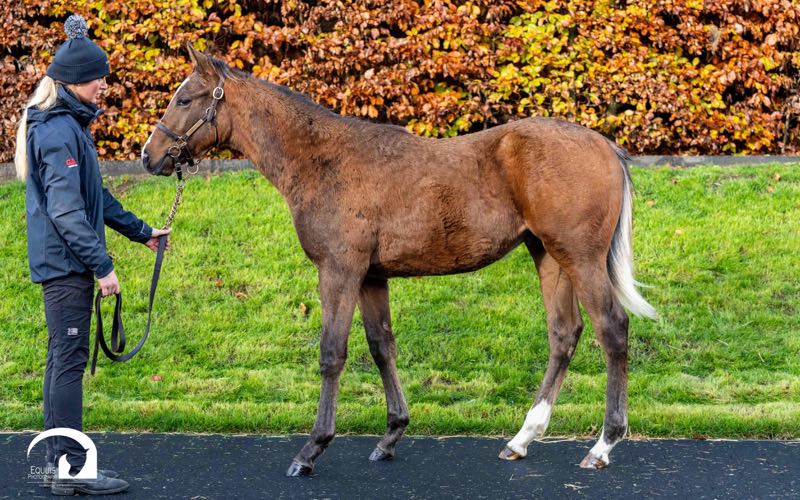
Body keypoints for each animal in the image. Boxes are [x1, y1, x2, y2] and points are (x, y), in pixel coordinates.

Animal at [142, 46, 657, 477]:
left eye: (185, 98)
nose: (149, 156)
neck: (322, 161)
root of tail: (606, 147)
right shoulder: (371, 277)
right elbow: (381, 347)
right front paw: (391, 434)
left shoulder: (339, 271)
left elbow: (332, 353)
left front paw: (312, 448)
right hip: (549, 256)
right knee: (564, 334)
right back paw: (522, 438)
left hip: (580, 259)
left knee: (612, 329)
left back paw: (603, 445)